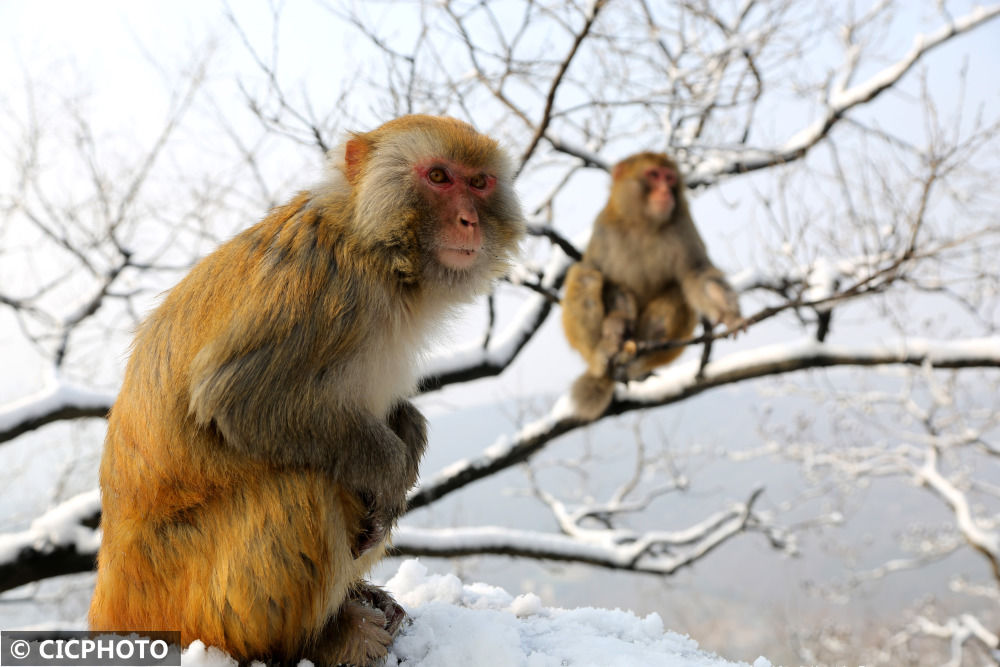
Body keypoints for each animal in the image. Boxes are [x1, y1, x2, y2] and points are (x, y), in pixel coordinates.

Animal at [88, 116, 524, 667]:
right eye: (440, 177)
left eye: (480, 182)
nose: (469, 220)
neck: (375, 247)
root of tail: (111, 603)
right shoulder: (330, 290)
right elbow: (238, 398)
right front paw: (391, 469)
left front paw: (409, 433)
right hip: (182, 597)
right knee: (301, 485)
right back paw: (320, 638)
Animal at [564, 153, 744, 420]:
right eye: (653, 175)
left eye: (669, 178)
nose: (666, 191)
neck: (644, 224)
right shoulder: (604, 230)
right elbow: (611, 281)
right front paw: (616, 323)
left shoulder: (683, 228)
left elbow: (697, 273)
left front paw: (730, 313)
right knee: (585, 274)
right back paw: (602, 356)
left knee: (678, 290)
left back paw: (637, 359)